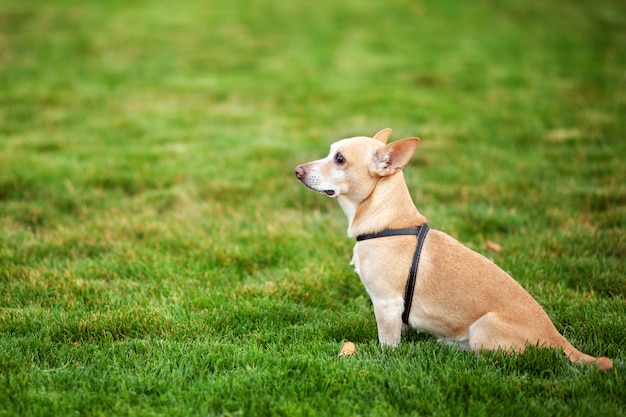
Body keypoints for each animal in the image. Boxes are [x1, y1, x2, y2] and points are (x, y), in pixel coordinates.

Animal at [294, 128, 612, 368]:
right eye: (331, 152)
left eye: (339, 159)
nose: (297, 170)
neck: (390, 220)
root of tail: (558, 339)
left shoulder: (386, 304)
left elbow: (387, 342)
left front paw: (385, 357)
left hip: (483, 328)